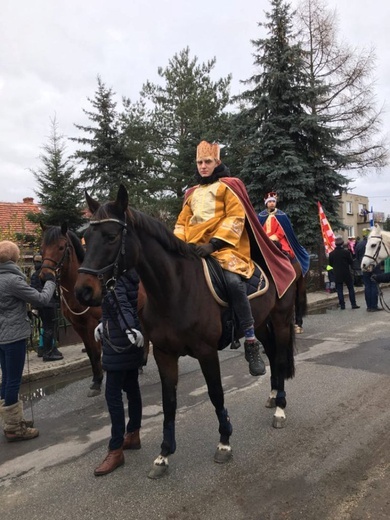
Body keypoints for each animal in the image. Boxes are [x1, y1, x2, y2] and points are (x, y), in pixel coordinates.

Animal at [40, 221, 103, 396]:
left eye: (61, 247)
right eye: (41, 248)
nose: (44, 276)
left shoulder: (92, 324)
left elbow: (96, 352)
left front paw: (98, 382)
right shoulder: (78, 326)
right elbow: (90, 352)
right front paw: (96, 380)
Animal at [74, 186, 296, 480]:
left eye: (111, 236)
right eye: (86, 238)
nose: (83, 291)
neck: (174, 289)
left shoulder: (206, 351)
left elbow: (216, 393)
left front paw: (224, 442)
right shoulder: (164, 354)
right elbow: (169, 403)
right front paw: (163, 454)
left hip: (281, 319)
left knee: (280, 359)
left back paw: (280, 409)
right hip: (260, 323)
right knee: (270, 354)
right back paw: (271, 396)